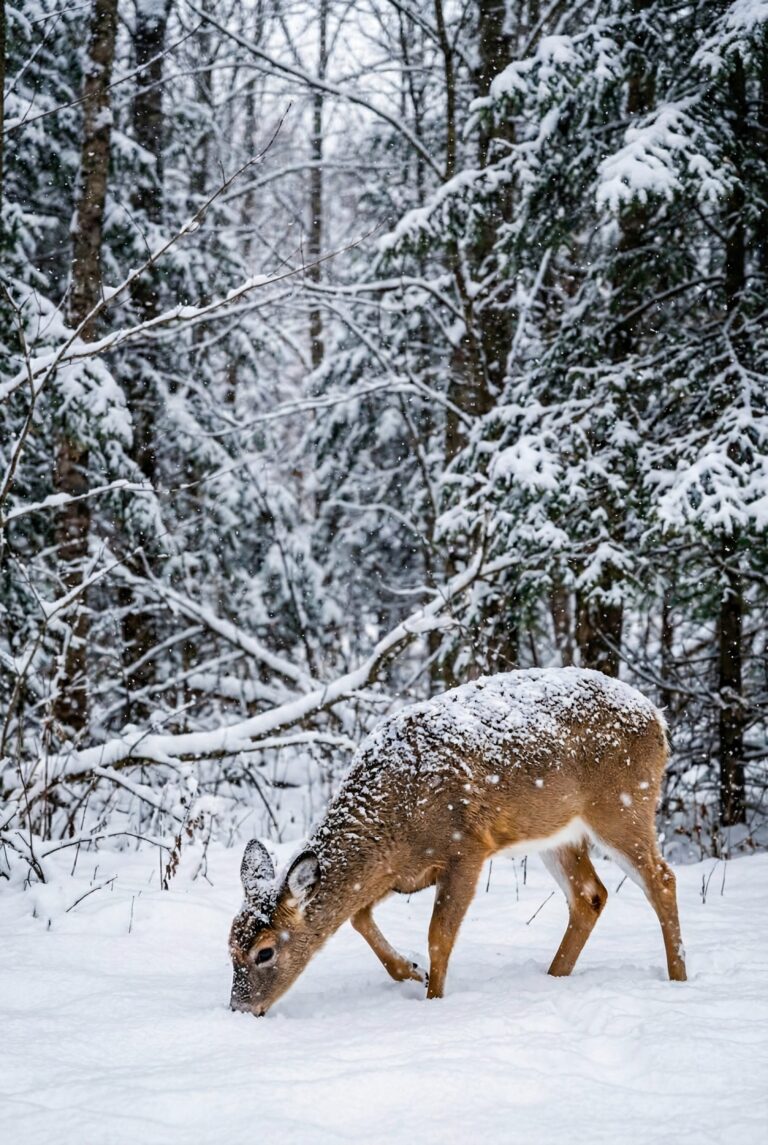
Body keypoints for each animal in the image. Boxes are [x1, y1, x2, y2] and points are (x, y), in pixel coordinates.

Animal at [229, 667, 686, 1016]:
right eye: (230, 945)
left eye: (264, 952)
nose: (240, 1010)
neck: (392, 819)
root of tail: (658, 717)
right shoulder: (401, 872)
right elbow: (359, 917)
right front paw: (412, 970)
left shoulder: (465, 846)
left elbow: (439, 935)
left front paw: (433, 1000)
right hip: (557, 833)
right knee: (590, 895)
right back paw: (554, 976)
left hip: (623, 805)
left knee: (661, 879)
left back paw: (678, 977)